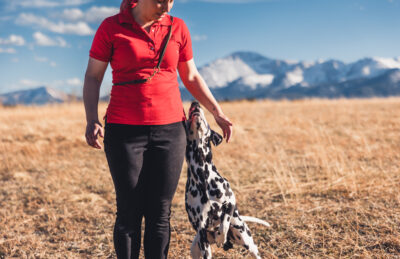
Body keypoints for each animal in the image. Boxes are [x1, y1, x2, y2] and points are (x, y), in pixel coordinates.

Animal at [184, 101, 268, 259]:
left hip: (244, 236)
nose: (195, 102)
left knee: (254, 251)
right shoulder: (201, 229)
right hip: (196, 248)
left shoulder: (230, 201)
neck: (202, 174)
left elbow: (224, 222)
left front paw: (220, 236)